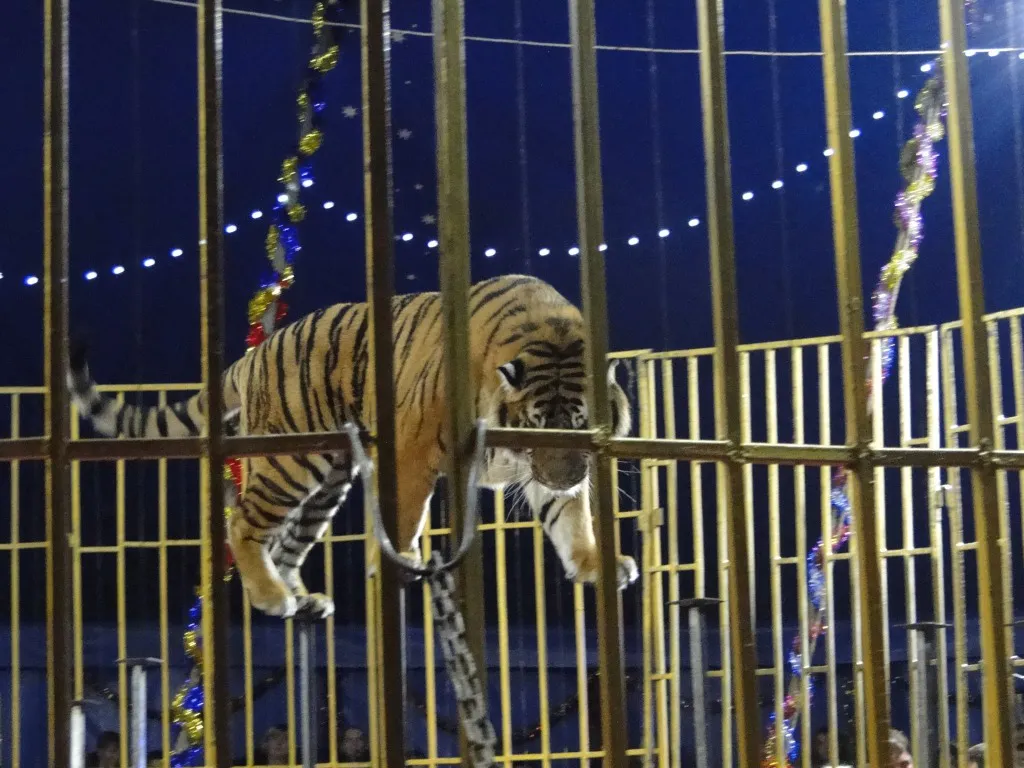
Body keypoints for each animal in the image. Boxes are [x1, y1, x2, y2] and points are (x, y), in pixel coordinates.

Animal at [68, 274, 639, 619]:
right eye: (539, 421)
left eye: (580, 424)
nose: (566, 477)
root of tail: (254, 354)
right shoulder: (413, 448)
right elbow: (405, 514)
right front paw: (399, 561)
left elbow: (572, 519)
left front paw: (595, 563)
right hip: (288, 460)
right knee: (243, 525)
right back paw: (272, 597)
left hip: (328, 480)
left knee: (287, 543)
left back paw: (302, 599)